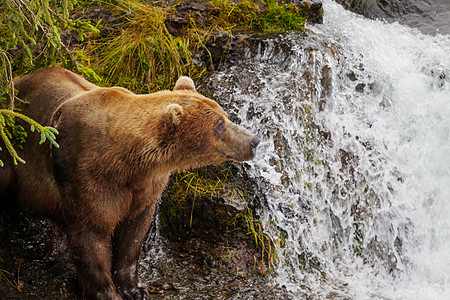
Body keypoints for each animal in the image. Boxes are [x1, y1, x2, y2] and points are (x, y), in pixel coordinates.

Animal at [0, 66, 260, 300]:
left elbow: (133, 232)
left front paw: (135, 288)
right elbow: (91, 233)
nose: (254, 140)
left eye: (224, 115)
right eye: (219, 124)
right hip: (11, 155)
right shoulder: (87, 174)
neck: (128, 161)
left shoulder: (144, 187)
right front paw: (107, 292)